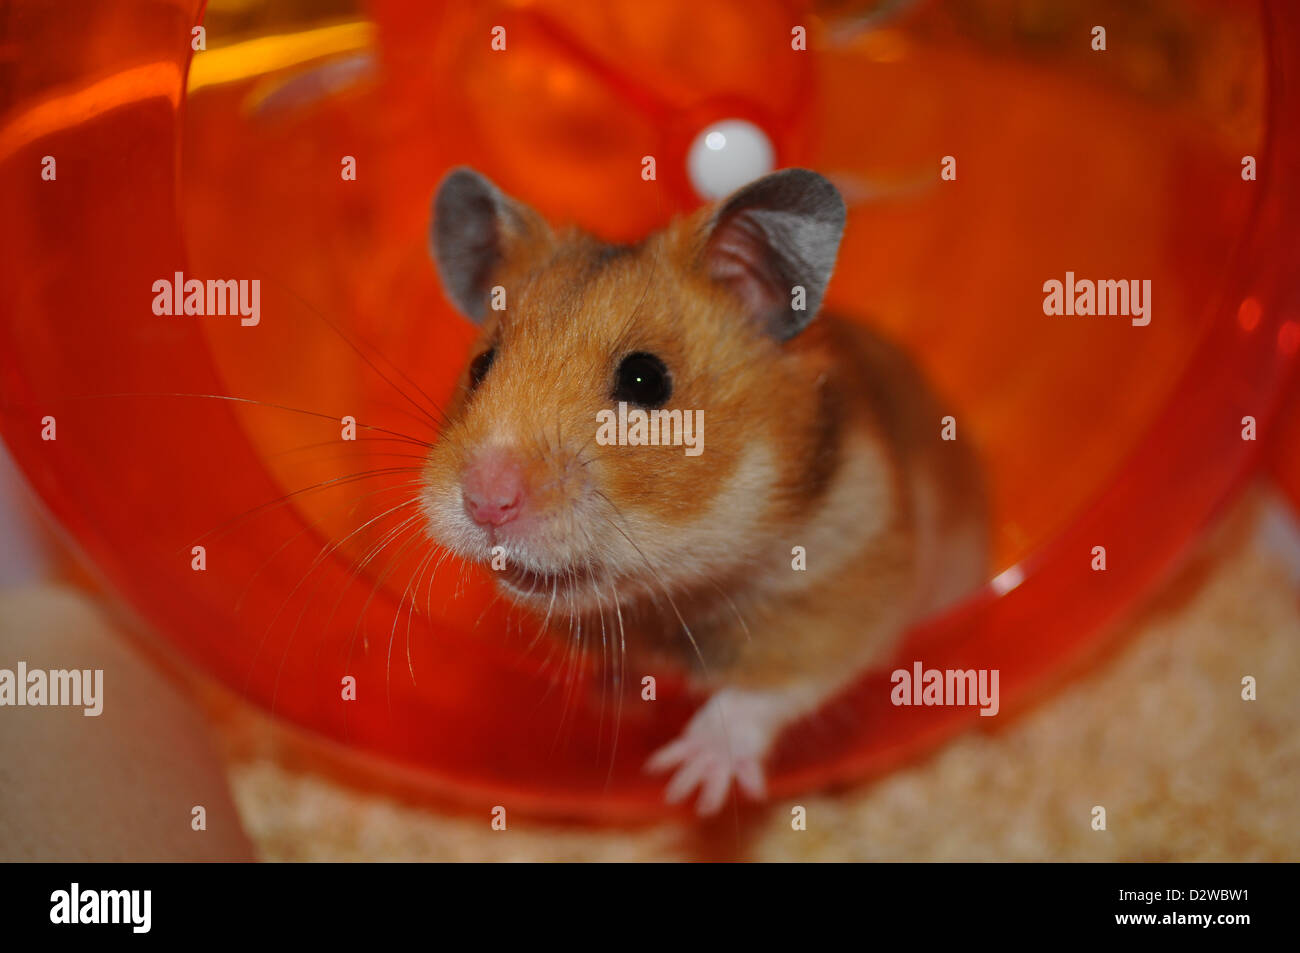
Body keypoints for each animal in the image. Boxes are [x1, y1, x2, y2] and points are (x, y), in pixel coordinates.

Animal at [422, 166, 987, 815]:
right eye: (481, 365)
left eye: (645, 379)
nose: (486, 500)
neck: (670, 596)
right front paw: (611, 707)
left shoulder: (846, 589)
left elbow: (767, 687)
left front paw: (689, 784)